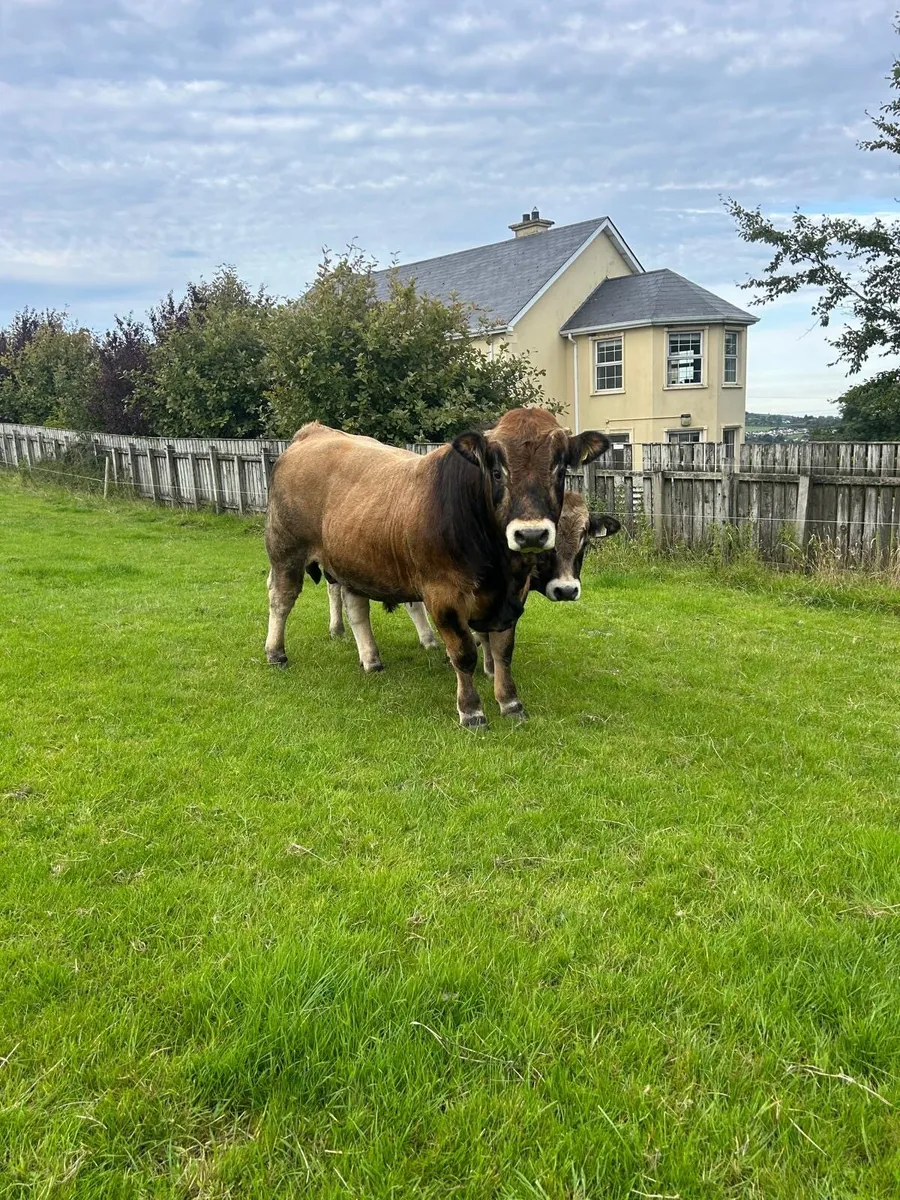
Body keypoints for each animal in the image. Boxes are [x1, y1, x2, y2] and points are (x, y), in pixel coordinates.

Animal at [264, 408, 610, 726]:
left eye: (560, 469)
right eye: (497, 471)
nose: (532, 534)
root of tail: (313, 432)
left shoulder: (512, 597)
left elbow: (503, 651)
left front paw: (510, 702)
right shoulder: (443, 596)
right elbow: (464, 652)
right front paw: (471, 709)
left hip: (351, 561)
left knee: (356, 608)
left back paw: (371, 659)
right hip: (285, 550)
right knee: (281, 599)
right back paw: (276, 652)